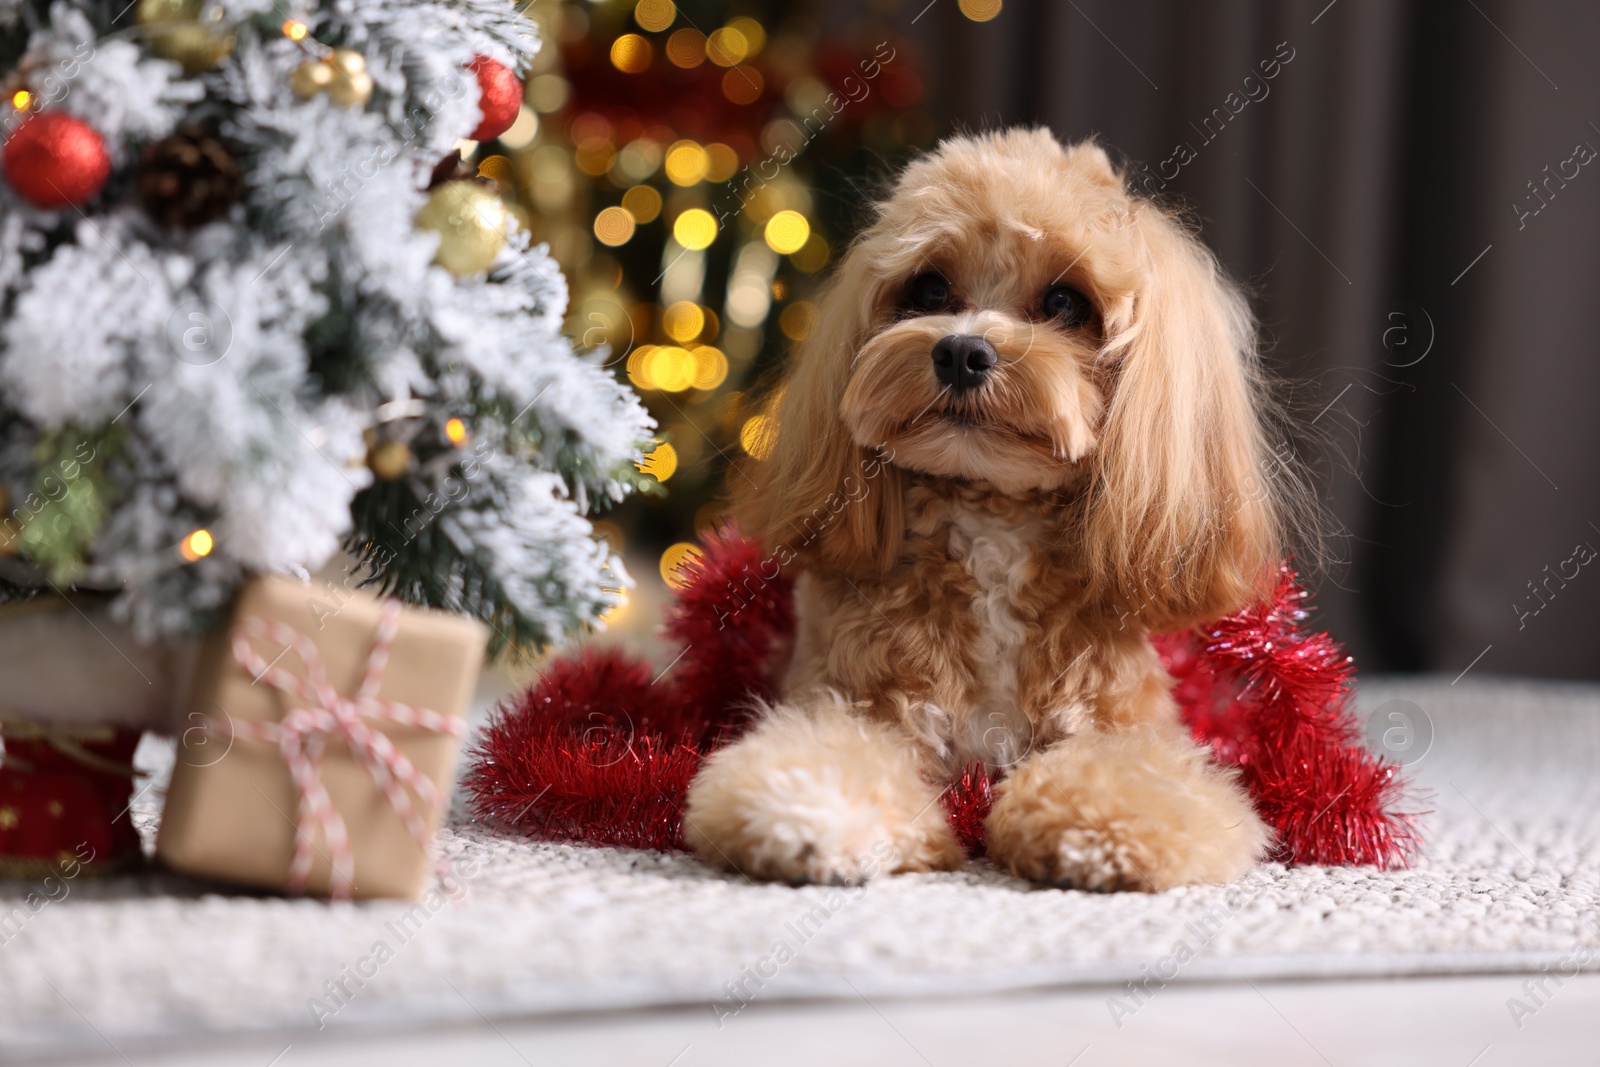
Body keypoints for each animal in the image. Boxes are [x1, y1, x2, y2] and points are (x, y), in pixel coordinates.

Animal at [684, 125, 1299, 895]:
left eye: (1066, 303)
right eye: (929, 288)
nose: (961, 351)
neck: (992, 528)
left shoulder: (1126, 727)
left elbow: (1127, 774)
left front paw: (1098, 829)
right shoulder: (855, 701)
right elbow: (827, 754)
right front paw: (812, 811)